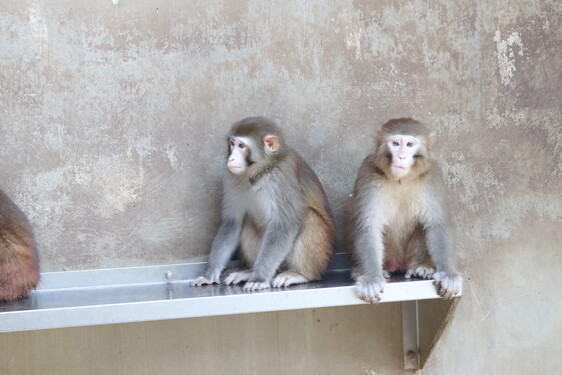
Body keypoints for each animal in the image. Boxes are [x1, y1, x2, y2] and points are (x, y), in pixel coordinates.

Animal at [190, 116, 334, 292]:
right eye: (232, 143)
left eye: (241, 146)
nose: (231, 158)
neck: (262, 171)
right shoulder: (232, 177)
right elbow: (232, 223)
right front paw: (210, 275)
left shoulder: (282, 179)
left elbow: (284, 225)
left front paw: (259, 279)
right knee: (248, 221)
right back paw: (249, 271)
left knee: (308, 216)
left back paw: (301, 274)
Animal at [346, 119, 460, 304]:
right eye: (395, 143)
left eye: (409, 144)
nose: (401, 156)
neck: (402, 179)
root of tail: (397, 264)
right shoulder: (368, 172)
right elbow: (368, 225)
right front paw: (372, 278)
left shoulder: (432, 175)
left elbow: (437, 224)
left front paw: (447, 274)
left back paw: (421, 265)